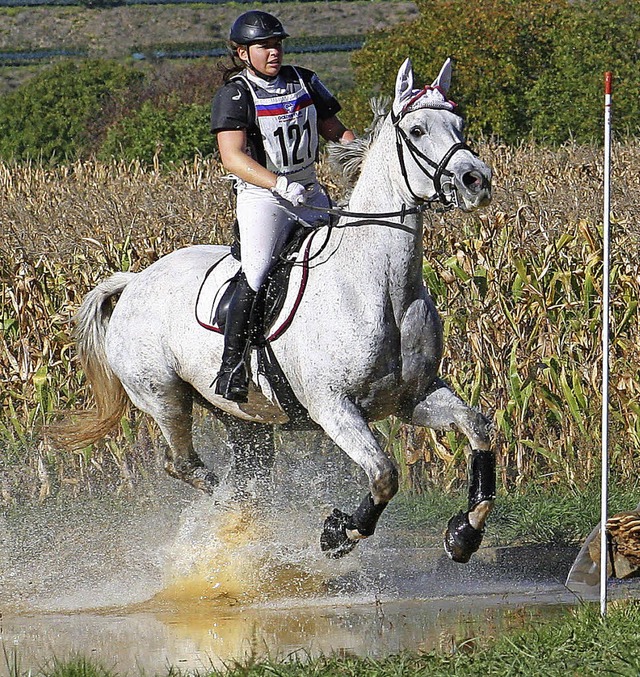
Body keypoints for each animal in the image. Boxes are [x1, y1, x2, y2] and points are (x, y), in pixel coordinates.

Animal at [52, 60, 498, 564]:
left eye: (459, 123)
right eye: (418, 130)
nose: (476, 180)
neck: (380, 284)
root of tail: (134, 282)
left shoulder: (413, 396)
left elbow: (479, 429)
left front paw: (464, 534)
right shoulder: (333, 407)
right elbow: (385, 473)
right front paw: (338, 532)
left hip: (241, 413)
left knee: (242, 467)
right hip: (164, 397)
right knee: (183, 463)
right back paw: (231, 511)